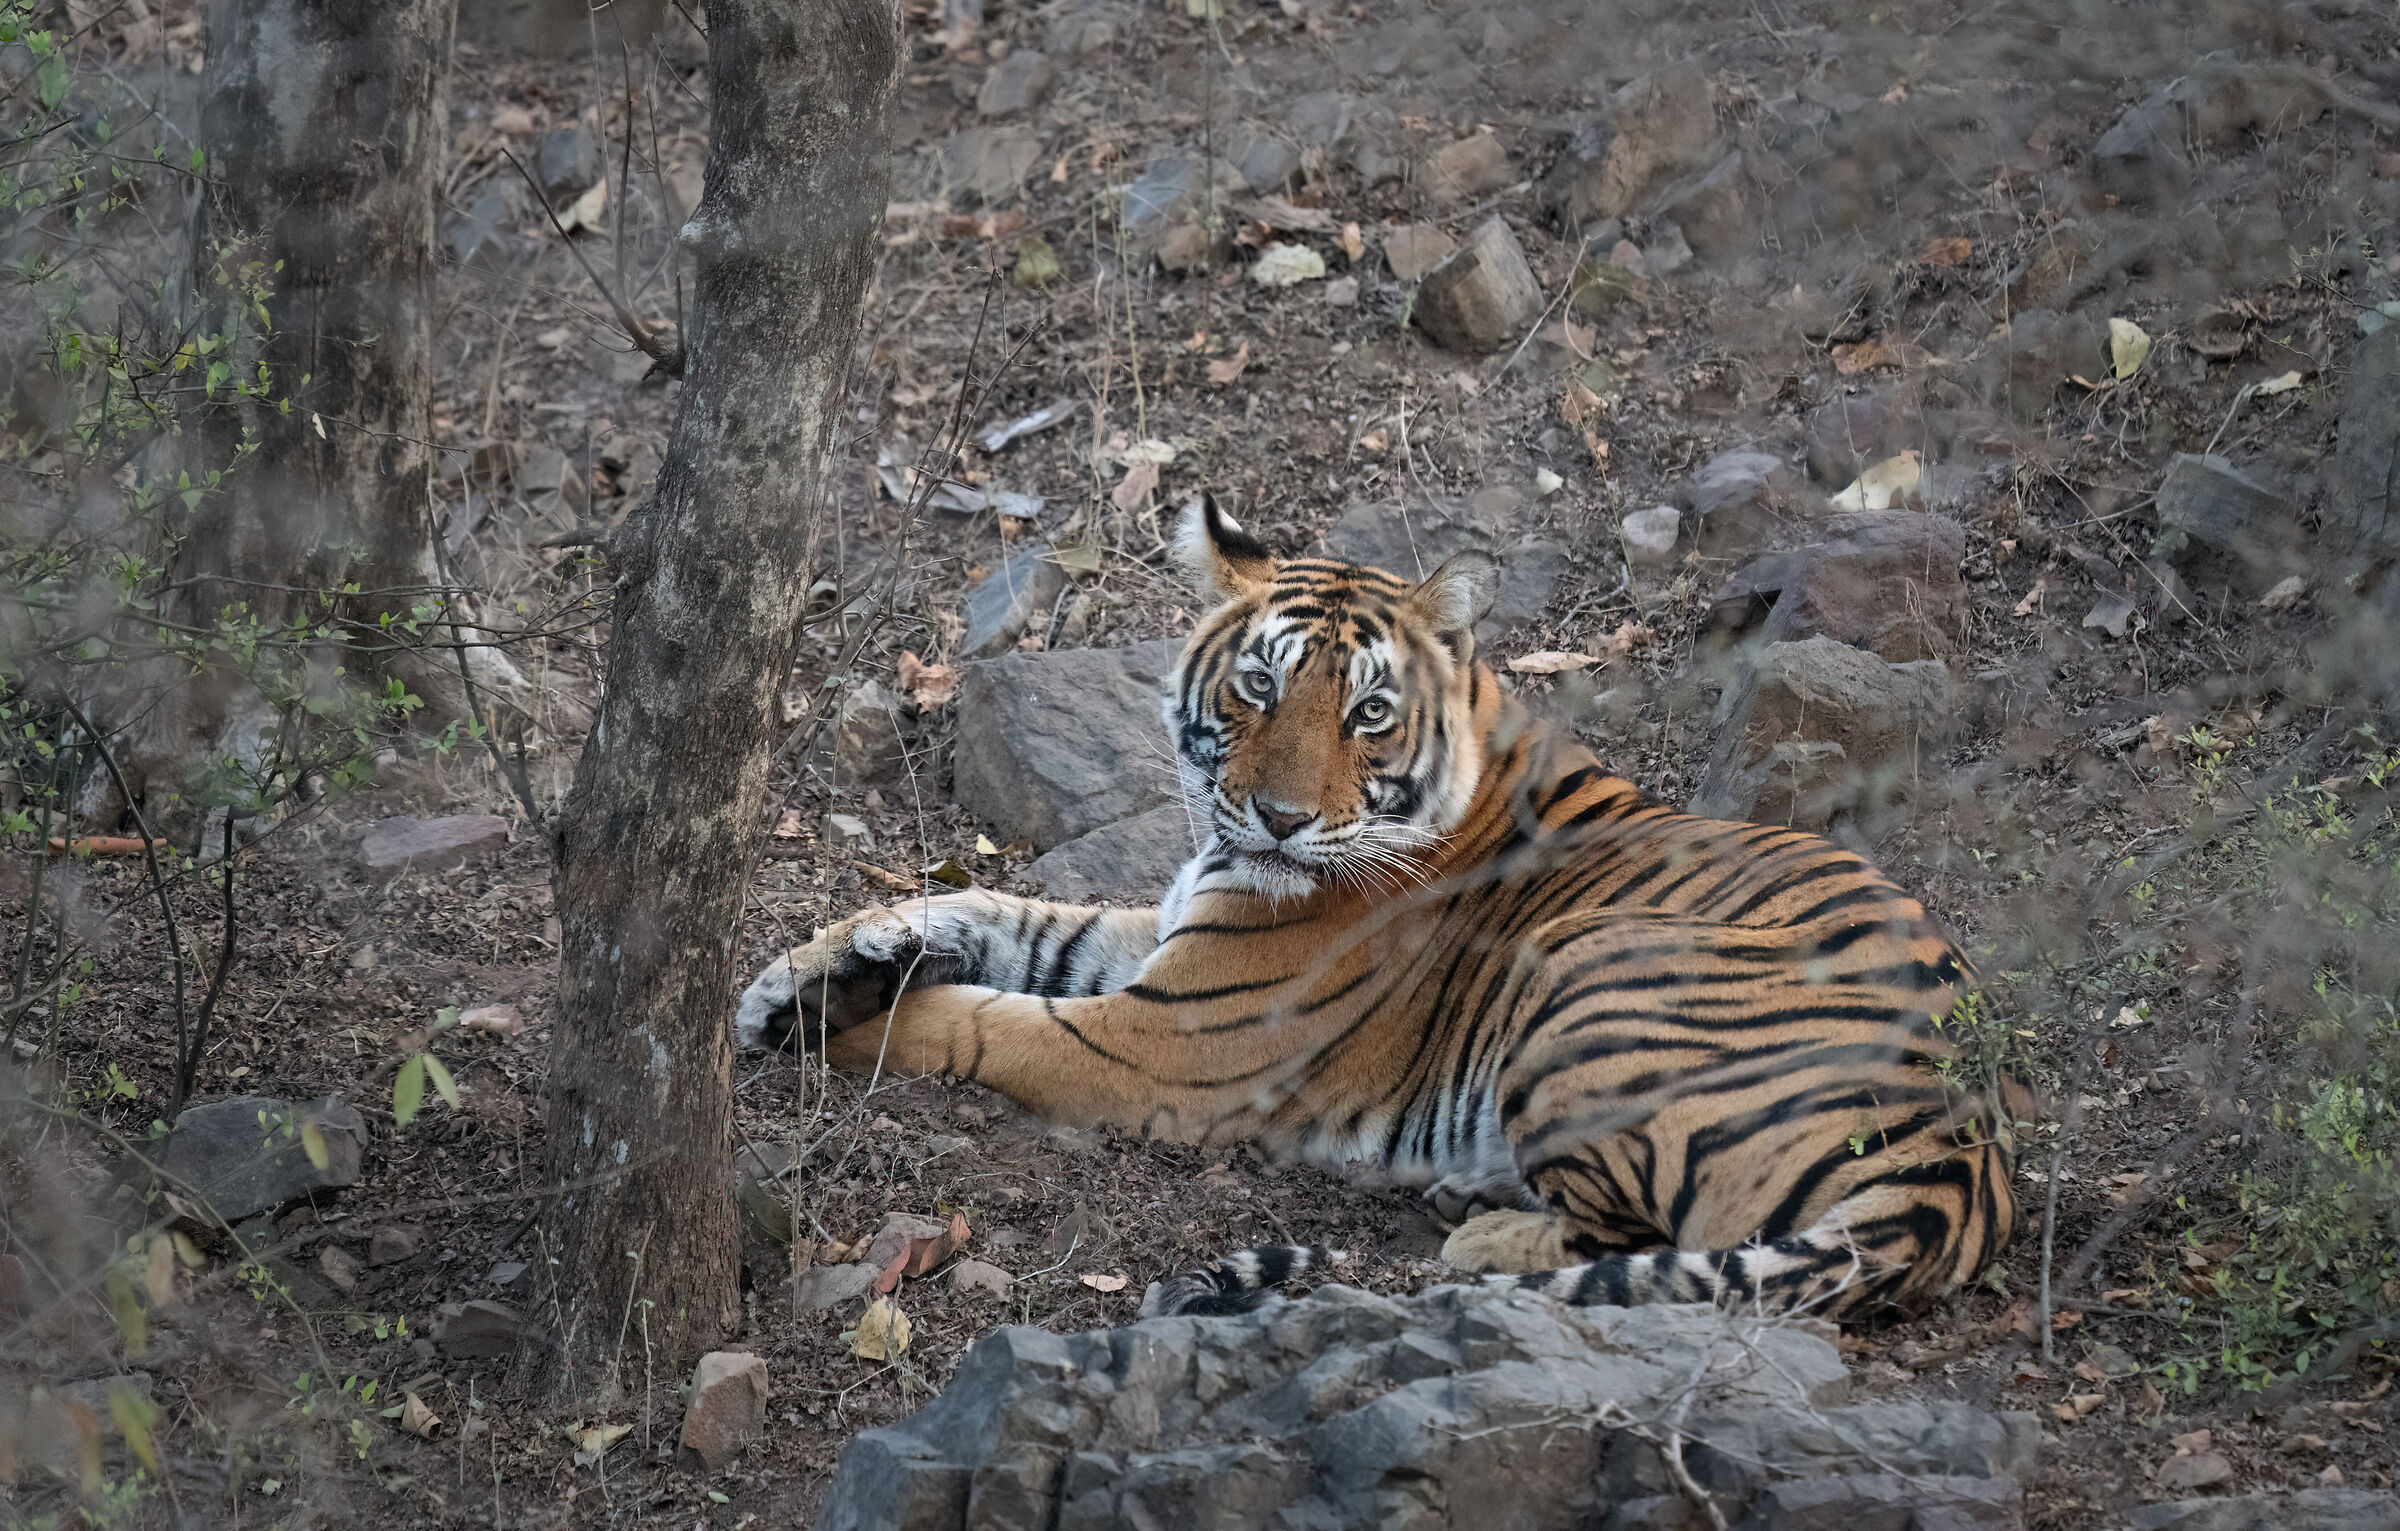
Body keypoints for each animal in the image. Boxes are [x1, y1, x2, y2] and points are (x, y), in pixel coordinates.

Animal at [735, 495, 2027, 1322]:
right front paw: (803, 974)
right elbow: (1005, 911)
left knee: (1655, 1239)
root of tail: (1958, 1157)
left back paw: (1473, 1225)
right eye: (1259, 685)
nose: (1279, 818)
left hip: (1591, 965)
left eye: (1366, 711)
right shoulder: (1162, 946)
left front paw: (841, 1026)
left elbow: (981, 1019)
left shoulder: (1167, 1039)